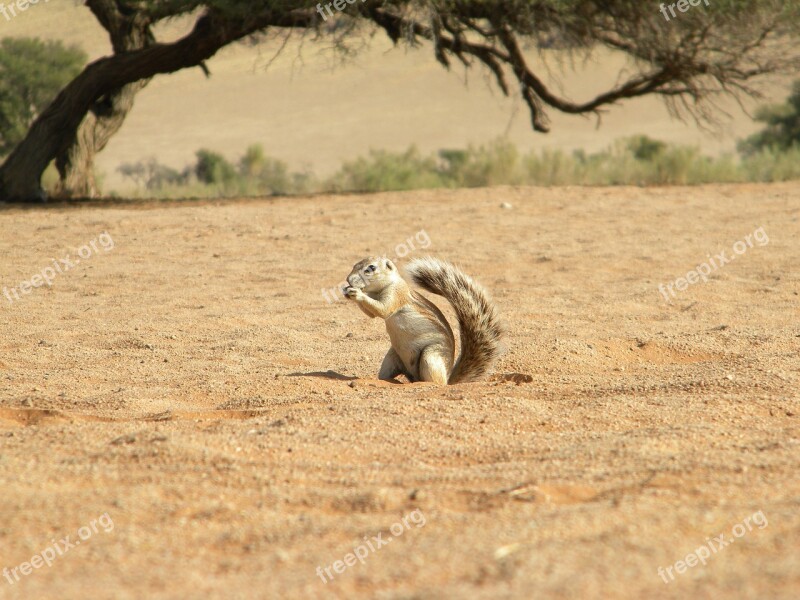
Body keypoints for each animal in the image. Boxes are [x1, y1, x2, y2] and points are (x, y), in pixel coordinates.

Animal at [342, 255, 500, 382]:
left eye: (371, 268)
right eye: (355, 264)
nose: (348, 279)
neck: (378, 290)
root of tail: (448, 379)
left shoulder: (397, 294)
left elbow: (383, 309)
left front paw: (357, 293)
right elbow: (371, 313)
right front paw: (346, 290)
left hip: (430, 356)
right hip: (391, 358)